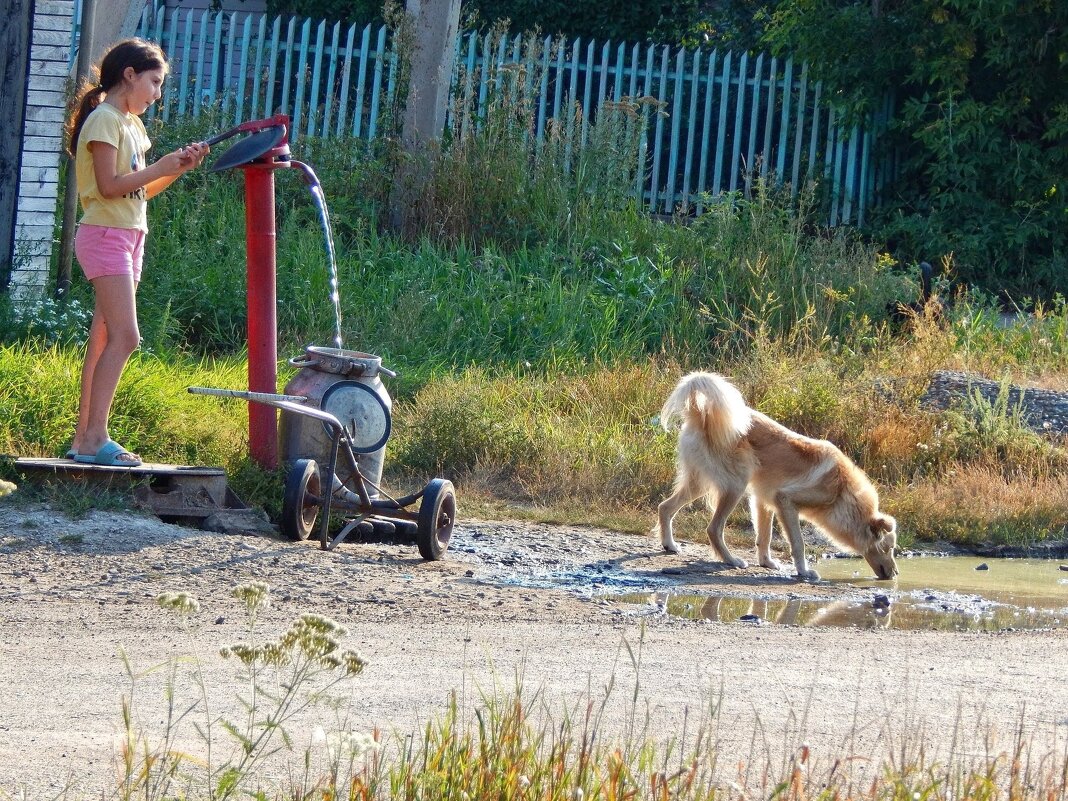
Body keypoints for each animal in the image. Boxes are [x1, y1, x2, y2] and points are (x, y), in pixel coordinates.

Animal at [653, 369, 897, 585]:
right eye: (889, 548)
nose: (895, 574)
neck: (842, 491)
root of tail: (700, 413)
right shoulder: (785, 502)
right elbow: (798, 543)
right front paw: (804, 571)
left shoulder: (763, 501)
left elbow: (765, 536)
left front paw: (766, 563)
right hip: (735, 486)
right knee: (713, 529)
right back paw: (731, 560)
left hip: (700, 483)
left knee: (665, 507)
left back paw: (669, 545)